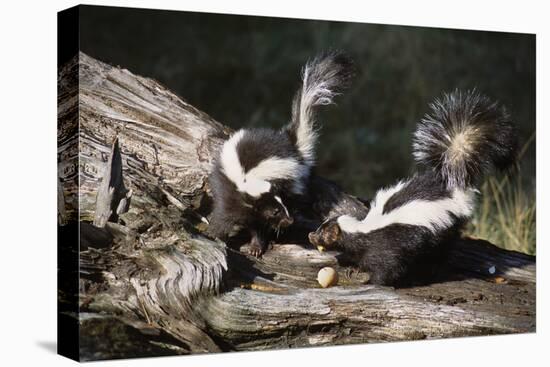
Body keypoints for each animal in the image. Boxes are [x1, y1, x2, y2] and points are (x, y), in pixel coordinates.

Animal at [209, 51, 356, 258]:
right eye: (274, 212)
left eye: (281, 206)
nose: (288, 220)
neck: (246, 181)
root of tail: (290, 143)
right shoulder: (229, 193)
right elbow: (224, 215)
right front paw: (215, 234)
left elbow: (259, 228)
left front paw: (256, 246)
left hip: (293, 179)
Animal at [308, 89, 520, 288]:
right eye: (320, 228)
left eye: (324, 233)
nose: (311, 236)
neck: (363, 230)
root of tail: (451, 186)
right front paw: (353, 267)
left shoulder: (386, 247)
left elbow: (387, 269)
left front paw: (370, 282)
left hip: (443, 231)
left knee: (440, 255)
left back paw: (428, 274)